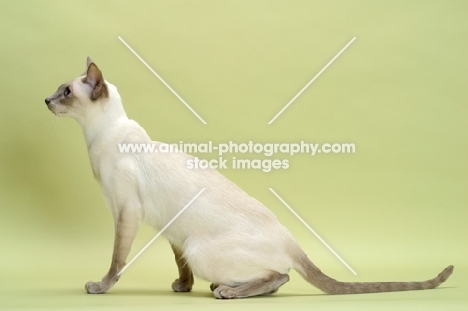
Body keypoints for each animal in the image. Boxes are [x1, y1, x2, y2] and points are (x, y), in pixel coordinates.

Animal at [44, 58, 454, 300]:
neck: (98, 137)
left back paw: (227, 291)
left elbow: (116, 260)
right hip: (192, 241)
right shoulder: (172, 230)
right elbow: (178, 264)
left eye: (66, 92)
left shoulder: (126, 212)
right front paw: (182, 287)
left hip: (201, 248)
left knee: (281, 275)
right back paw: (224, 286)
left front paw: (99, 287)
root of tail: (290, 238)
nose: (46, 101)